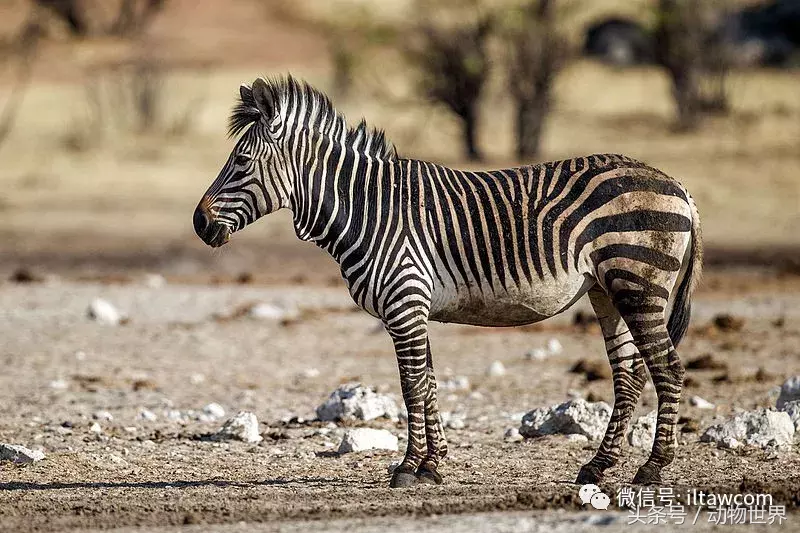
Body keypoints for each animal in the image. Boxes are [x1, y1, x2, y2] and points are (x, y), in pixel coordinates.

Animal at [192, 77, 700, 488]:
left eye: (241, 161)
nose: (199, 224)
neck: (369, 210)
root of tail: (677, 184)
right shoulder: (413, 309)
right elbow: (428, 383)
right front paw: (431, 466)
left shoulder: (404, 304)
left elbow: (411, 386)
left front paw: (408, 468)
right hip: (605, 290)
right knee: (627, 376)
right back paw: (597, 466)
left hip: (638, 284)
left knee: (668, 368)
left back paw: (652, 468)